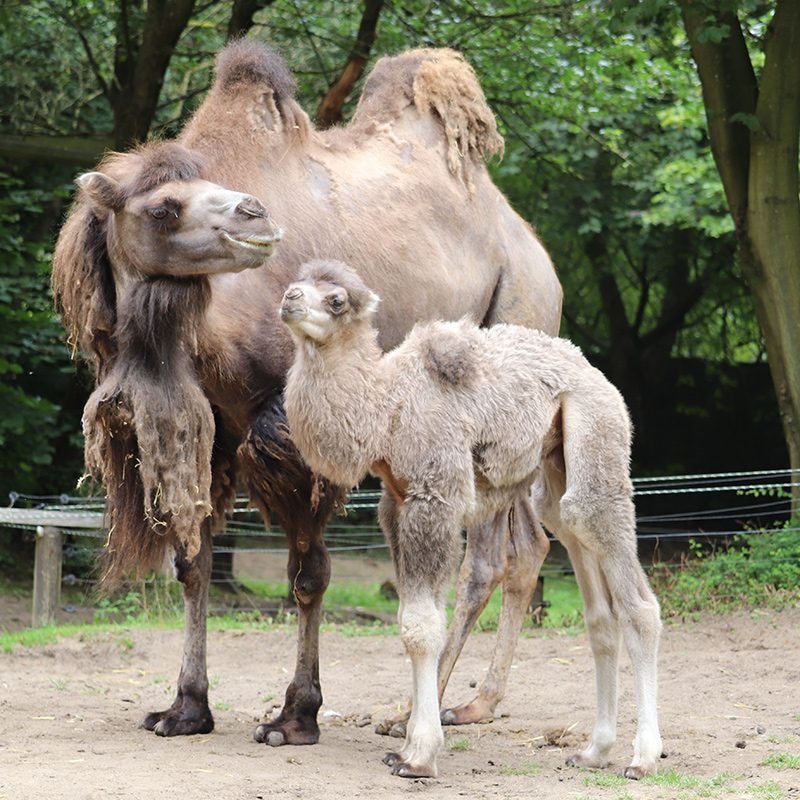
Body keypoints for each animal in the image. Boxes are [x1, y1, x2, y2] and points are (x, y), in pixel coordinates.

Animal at [53, 40, 560, 748]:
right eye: (163, 207)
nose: (257, 213)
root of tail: (530, 246)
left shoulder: (291, 430)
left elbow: (308, 574)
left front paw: (296, 715)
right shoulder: (215, 429)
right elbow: (192, 563)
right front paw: (184, 708)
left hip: (507, 341)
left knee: (485, 554)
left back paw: (422, 712)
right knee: (518, 544)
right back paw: (475, 702)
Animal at [282, 260, 664, 780]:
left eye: (336, 299)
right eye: (296, 283)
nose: (289, 299)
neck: (387, 407)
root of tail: (597, 377)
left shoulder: (435, 496)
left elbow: (422, 626)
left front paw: (419, 755)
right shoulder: (396, 502)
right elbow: (409, 618)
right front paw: (406, 741)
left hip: (597, 431)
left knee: (633, 595)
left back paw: (643, 757)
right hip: (555, 466)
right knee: (588, 587)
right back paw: (593, 750)